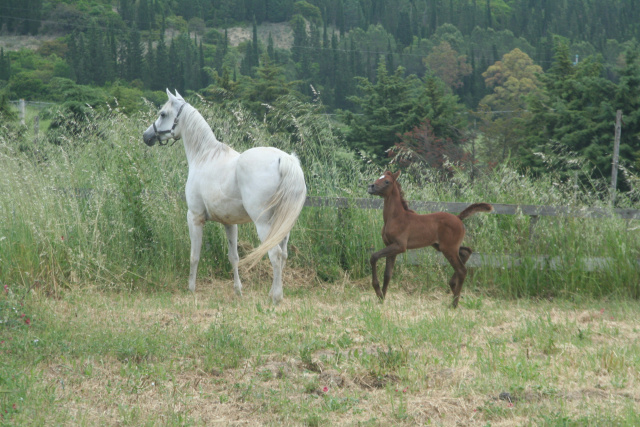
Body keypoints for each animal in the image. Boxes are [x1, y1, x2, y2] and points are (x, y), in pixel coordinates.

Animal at [143, 89, 308, 304]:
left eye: (163, 114)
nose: (146, 136)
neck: (204, 157)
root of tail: (284, 159)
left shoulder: (194, 217)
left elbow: (194, 255)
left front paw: (191, 289)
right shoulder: (230, 223)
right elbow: (233, 257)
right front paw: (238, 291)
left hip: (263, 223)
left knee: (275, 254)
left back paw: (276, 298)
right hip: (283, 225)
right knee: (284, 253)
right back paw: (273, 292)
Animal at [368, 171, 492, 308]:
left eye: (387, 181)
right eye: (379, 177)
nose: (371, 187)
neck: (396, 217)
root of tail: (458, 218)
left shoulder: (400, 246)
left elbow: (374, 256)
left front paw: (377, 290)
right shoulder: (391, 246)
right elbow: (387, 274)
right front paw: (381, 299)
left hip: (448, 248)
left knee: (462, 270)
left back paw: (454, 304)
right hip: (442, 246)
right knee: (466, 251)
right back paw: (453, 286)